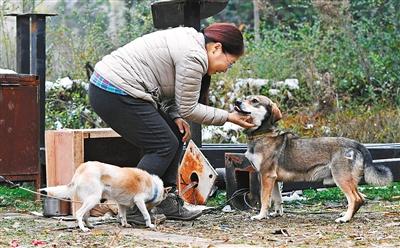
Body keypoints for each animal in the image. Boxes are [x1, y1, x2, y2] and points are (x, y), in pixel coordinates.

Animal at [41, 162, 169, 232]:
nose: (154, 211)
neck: (154, 186)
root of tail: (81, 169)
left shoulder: (121, 204)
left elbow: (123, 215)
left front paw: (125, 224)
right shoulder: (139, 200)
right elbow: (146, 215)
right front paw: (150, 225)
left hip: (88, 200)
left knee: (85, 215)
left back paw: (89, 225)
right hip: (94, 199)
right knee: (79, 214)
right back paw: (83, 229)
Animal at [234, 95, 394, 223]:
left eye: (254, 101)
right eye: (246, 97)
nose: (237, 101)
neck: (263, 135)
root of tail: (355, 143)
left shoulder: (266, 176)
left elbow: (264, 200)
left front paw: (261, 216)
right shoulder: (274, 179)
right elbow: (277, 199)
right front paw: (277, 214)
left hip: (341, 178)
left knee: (355, 199)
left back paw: (345, 219)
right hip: (350, 180)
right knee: (361, 198)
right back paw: (347, 215)